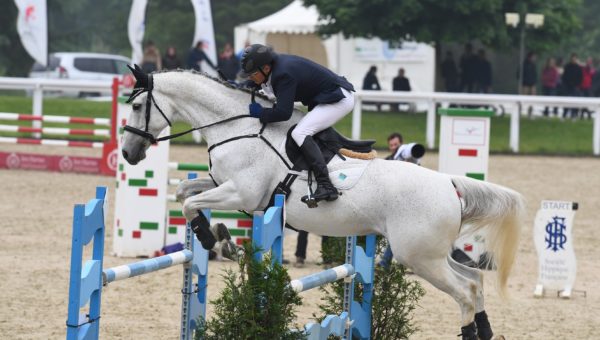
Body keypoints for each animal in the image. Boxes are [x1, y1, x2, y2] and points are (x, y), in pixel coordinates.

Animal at [122, 69, 524, 340]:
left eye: (138, 105)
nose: (128, 153)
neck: (237, 128)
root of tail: (449, 184)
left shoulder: (242, 193)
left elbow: (191, 203)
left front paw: (208, 238)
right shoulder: (227, 186)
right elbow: (184, 193)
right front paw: (216, 236)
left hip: (419, 256)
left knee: (464, 293)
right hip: (433, 254)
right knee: (474, 282)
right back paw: (485, 330)